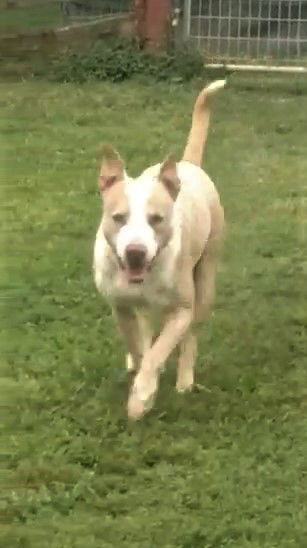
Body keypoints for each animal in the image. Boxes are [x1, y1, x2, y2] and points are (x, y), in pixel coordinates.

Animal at [94, 79, 226, 420]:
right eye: (118, 217)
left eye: (157, 219)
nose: (135, 252)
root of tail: (187, 165)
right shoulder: (121, 306)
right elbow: (139, 347)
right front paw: (142, 374)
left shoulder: (181, 310)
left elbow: (160, 349)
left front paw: (141, 398)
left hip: (205, 280)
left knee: (190, 334)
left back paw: (184, 379)